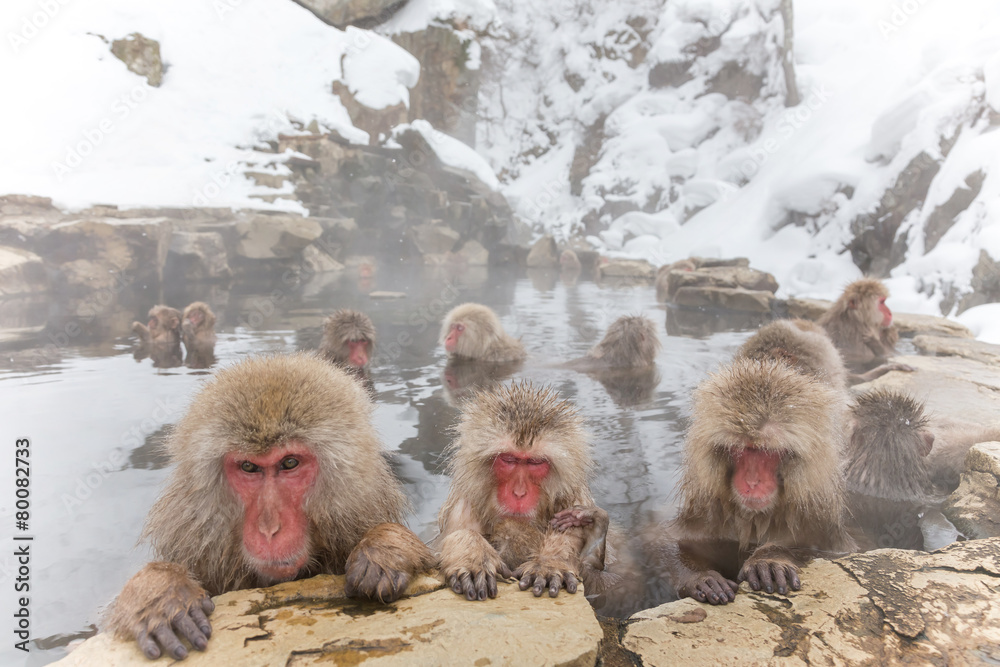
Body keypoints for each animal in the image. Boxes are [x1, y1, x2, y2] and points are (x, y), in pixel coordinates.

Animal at [437, 381, 611, 601]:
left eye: (535, 462)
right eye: (509, 459)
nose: (519, 493)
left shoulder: (573, 499)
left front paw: (549, 562)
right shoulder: (465, 500)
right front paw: (473, 556)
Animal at [646, 358, 854, 605]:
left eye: (767, 452)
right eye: (742, 449)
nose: (752, 482)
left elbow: (823, 552)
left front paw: (770, 560)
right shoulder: (707, 510)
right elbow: (662, 538)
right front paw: (700, 577)